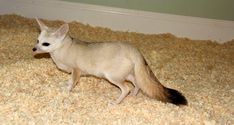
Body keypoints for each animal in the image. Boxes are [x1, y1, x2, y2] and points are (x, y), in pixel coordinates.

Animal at [33, 18, 187, 105]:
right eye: (37, 41)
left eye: (46, 44)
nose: (34, 49)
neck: (64, 47)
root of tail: (134, 50)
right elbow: (69, 81)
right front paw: (65, 85)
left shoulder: (76, 71)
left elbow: (72, 83)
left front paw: (66, 91)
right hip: (128, 75)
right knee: (137, 84)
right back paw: (134, 96)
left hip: (113, 77)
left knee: (126, 89)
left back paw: (116, 102)